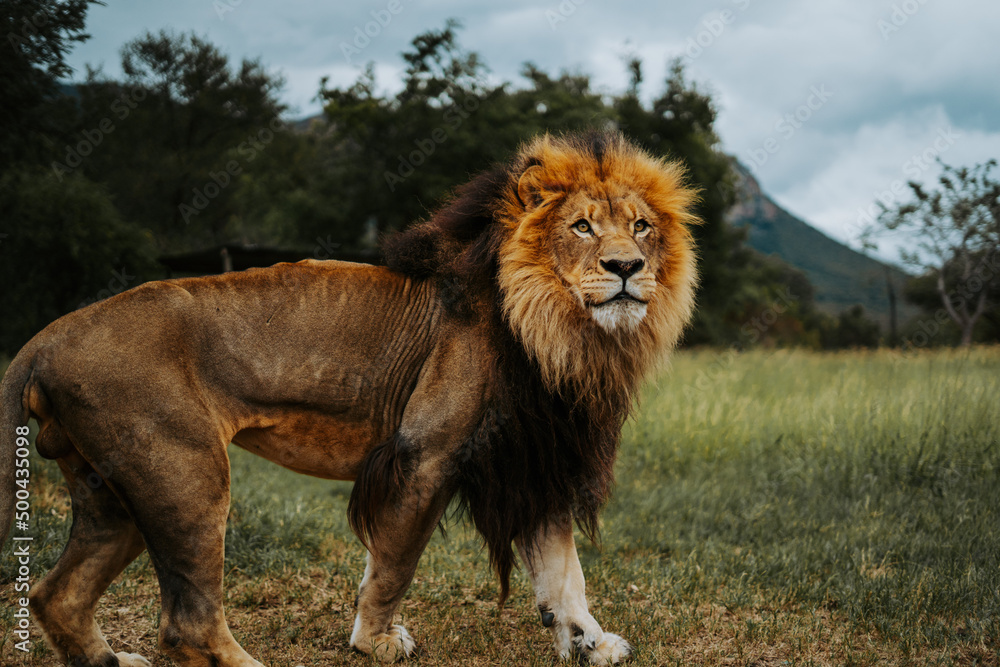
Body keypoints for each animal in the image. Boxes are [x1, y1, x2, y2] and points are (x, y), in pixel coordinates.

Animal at [0, 130, 699, 666]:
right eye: (581, 227)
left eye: (641, 227)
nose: (627, 268)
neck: (562, 333)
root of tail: (42, 340)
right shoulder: (426, 453)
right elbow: (394, 562)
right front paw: (376, 641)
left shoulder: (533, 457)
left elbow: (562, 571)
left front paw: (589, 641)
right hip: (186, 473)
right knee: (186, 623)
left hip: (114, 494)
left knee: (56, 596)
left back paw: (110, 659)